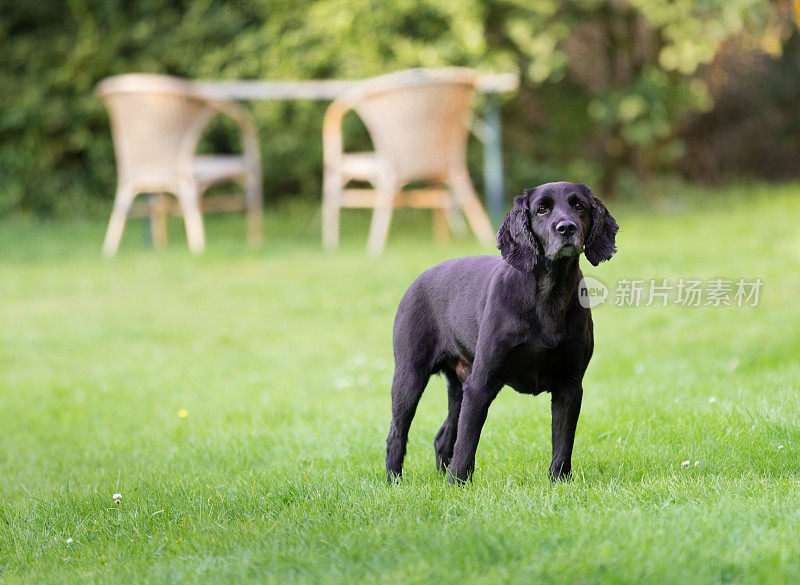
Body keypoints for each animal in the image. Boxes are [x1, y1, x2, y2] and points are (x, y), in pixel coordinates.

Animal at [386, 180, 620, 482]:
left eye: (578, 205)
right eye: (541, 209)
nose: (566, 228)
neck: (547, 298)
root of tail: (416, 281)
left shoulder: (569, 385)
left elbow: (562, 442)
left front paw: (559, 481)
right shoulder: (480, 385)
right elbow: (467, 443)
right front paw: (457, 483)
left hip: (457, 387)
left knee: (442, 438)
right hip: (409, 377)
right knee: (397, 435)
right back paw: (393, 482)